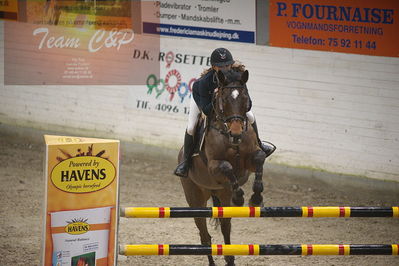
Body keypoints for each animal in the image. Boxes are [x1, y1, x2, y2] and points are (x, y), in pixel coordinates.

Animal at [179, 69, 268, 266]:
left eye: (245, 98)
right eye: (224, 100)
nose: (236, 134)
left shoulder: (249, 162)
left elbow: (259, 157)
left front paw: (256, 198)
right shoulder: (214, 167)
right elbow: (227, 166)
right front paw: (240, 197)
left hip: (222, 194)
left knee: (226, 226)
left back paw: (230, 258)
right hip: (196, 199)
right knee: (204, 236)